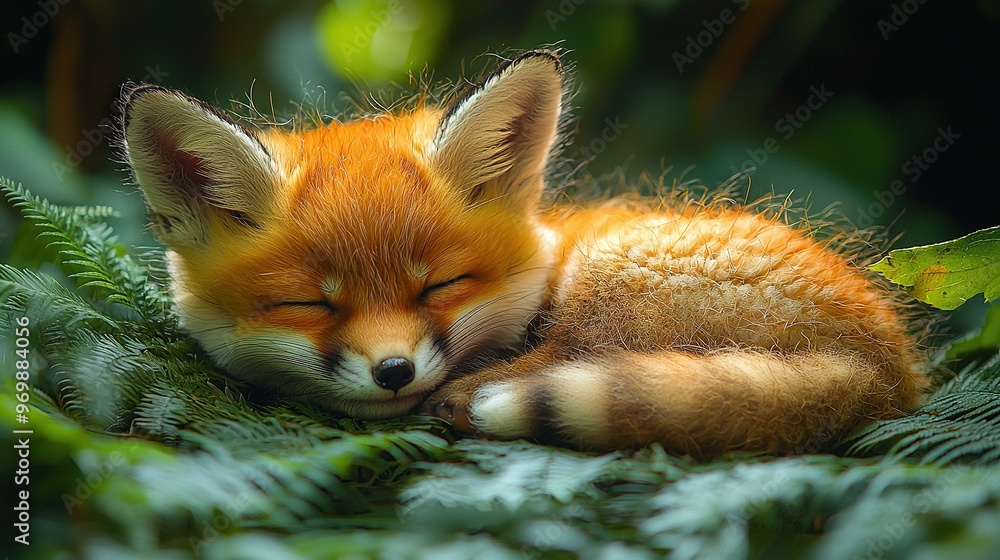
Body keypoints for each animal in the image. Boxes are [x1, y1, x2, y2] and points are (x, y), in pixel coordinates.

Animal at [119, 50, 928, 456]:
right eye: (306, 303)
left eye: (439, 286)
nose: (393, 372)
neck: (544, 244)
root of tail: (885, 370)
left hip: (610, 281)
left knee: (561, 367)